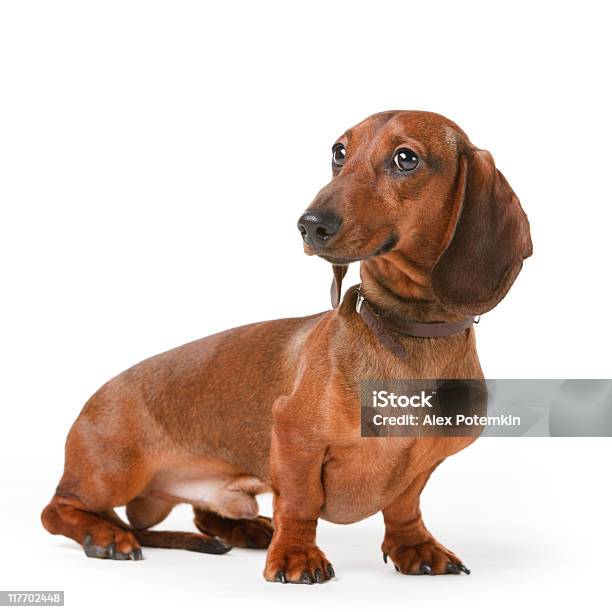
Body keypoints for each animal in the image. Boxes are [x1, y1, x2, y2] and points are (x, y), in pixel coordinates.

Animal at [41, 110, 532, 584]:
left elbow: (404, 506)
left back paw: (246, 528)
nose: (310, 225)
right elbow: (299, 502)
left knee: (203, 514)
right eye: (338, 152)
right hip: (114, 473)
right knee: (58, 511)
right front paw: (296, 554)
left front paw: (415, 547)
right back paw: (106, 535)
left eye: (406, 159)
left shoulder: (421, 464)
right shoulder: (294, 435)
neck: (408, 331)